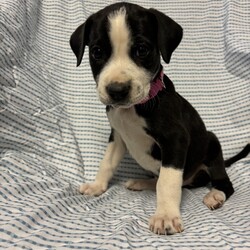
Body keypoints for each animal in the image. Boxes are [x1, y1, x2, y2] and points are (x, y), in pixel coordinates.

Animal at [71, 2, 250, 235]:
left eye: (142, 50)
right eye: (97, 52)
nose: (117, 91)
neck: (132, 109)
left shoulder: (175, 139)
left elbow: (167, 182)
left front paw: (165, 216)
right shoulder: (117, 136)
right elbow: (107, 163)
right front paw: (97, 186)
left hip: (212, 145)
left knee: (222, 183)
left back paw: (215, 195)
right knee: (162, 178)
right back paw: (142, 182)